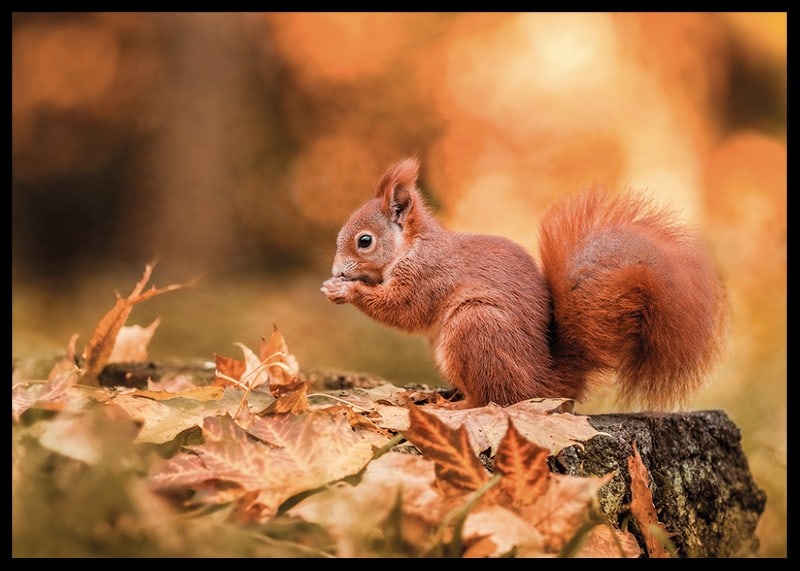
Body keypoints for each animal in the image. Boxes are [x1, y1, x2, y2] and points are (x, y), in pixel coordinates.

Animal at [321, 157, 729, 410]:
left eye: (364, 241)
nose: (337, 270)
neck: (412, 246)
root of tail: (543, 384)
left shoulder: (429, 276)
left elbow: (403, 310)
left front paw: (346, 290)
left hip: (476, 329)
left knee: (493, 400)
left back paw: (452, 406)